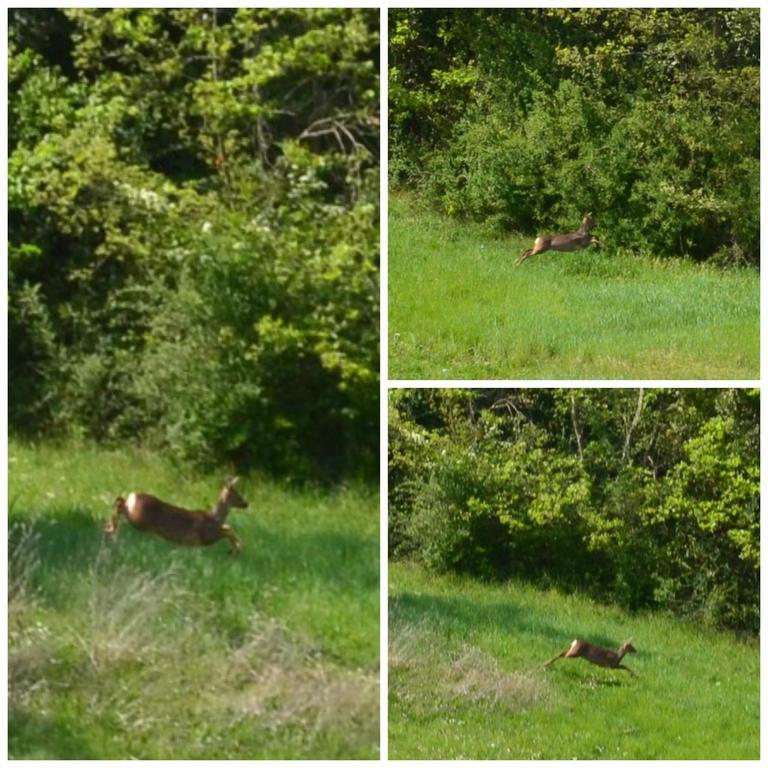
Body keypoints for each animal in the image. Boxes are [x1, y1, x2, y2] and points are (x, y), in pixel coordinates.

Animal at [103, 474, 248, 552]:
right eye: (237, 495)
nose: (246, 503)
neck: (215, 518)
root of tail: (133, 495)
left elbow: (228, 527)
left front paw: (236, 548)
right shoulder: (207, 537)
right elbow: (228, 530)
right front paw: (237, 548)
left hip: (136, 517)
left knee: (120, 502)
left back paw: (109, 528)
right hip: (139, 520)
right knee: (120, 504)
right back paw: (111, 529)